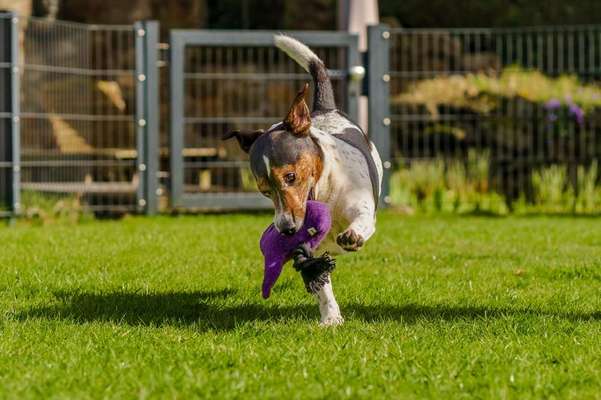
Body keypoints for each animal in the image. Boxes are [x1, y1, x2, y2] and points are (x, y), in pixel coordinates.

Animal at [223, 36, 382, 326]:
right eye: (264, 191)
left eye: (291, 177)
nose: (285, 228)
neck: (325, 191)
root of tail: (325, 109)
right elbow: (319, 277)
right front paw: (330, 316)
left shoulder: (361, 205)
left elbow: (362, 220)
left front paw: (353, 235)